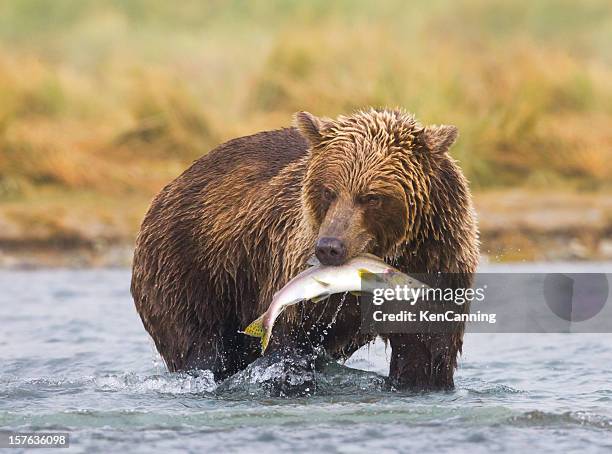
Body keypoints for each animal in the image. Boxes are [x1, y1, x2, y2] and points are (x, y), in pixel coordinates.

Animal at [131, 109, 480, 390]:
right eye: (329, 190)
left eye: (371, 197)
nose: (329, 248)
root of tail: (170, 186)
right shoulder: (292, 266)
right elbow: (289, 342)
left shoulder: (440, 260)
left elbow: (427, 352)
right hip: (192, 268)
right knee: (200, 347)